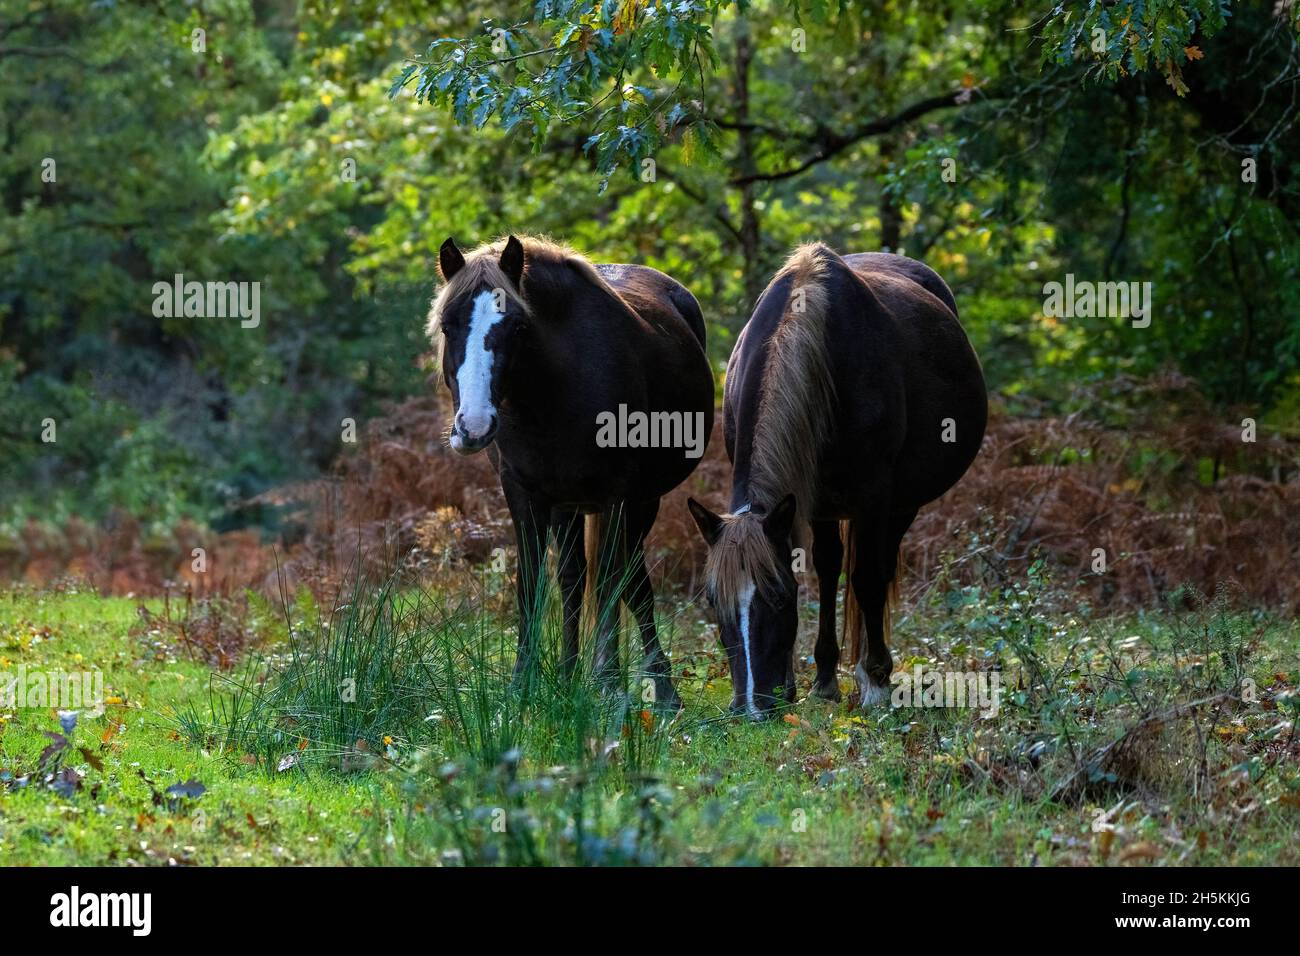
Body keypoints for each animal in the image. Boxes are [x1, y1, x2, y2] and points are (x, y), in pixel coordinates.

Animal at [691, 243, 982, 723]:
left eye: (777, 598)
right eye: (715, 602)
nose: (751, 708)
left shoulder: (873, 498)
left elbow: (866, 579)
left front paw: (876, 682)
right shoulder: (807, 502)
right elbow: (820, 569)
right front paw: (815, 680)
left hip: (900, 506)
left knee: (878, 568)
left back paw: (872, 668)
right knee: (831, 569)